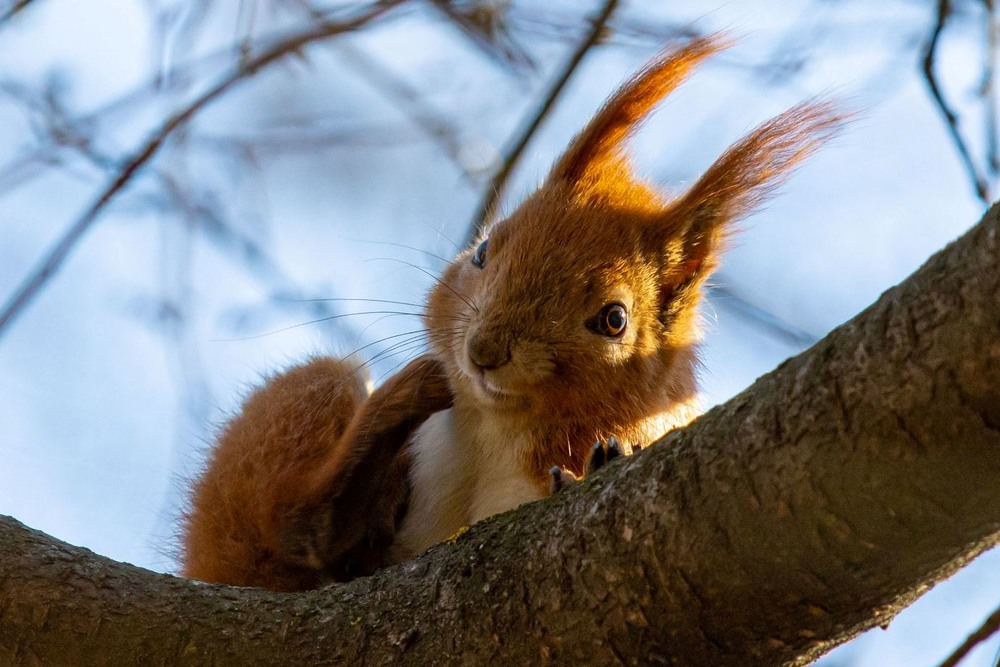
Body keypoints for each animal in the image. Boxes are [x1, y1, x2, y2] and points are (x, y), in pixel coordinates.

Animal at [182, 34, 844, 592]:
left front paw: (604, 460)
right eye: (482, 250)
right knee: (279, 518)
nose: (483, 353)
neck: (498, 430)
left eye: (613, 319)